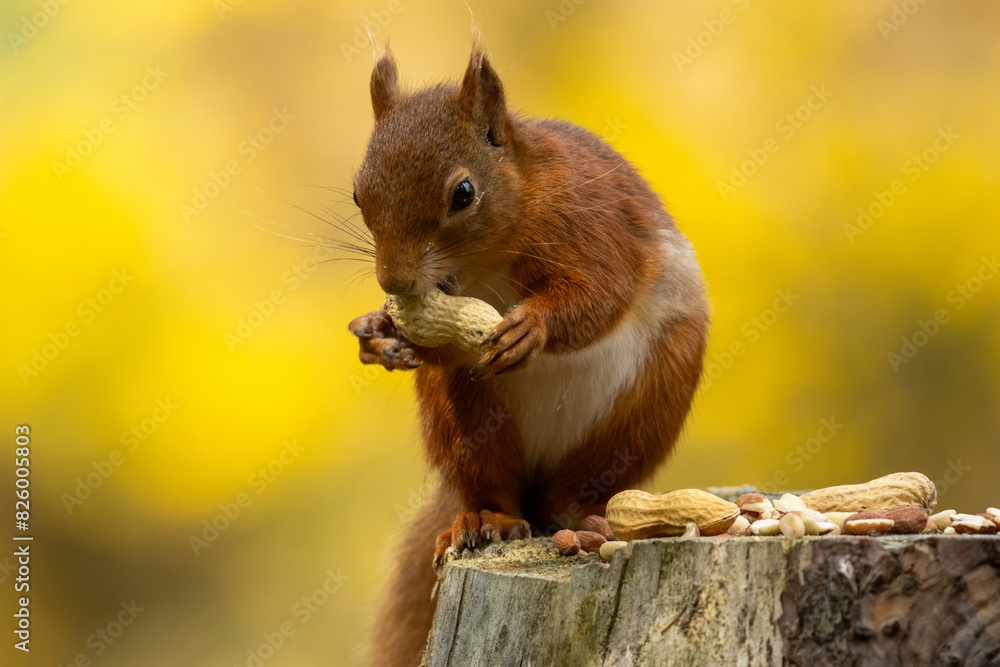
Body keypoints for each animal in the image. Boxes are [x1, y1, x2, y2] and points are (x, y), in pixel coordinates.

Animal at [347, 46, 709, 666]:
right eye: (357, 192)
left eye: (463, 194)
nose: (393, 281)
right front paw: (381, 334)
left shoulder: (594, 222)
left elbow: (601, 291)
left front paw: (530, 329)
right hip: (466, 422)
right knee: (490, 486)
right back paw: (482, 520)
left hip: (645, 407)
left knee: (578, 488)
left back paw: (579, 516)